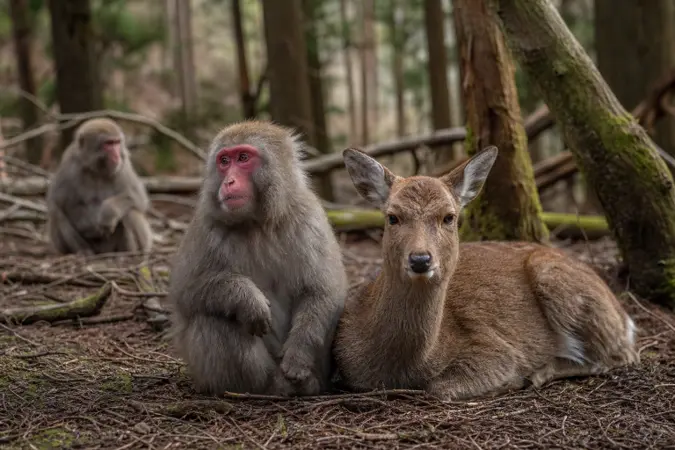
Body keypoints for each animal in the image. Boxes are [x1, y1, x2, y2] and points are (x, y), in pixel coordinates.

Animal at [45, 118, 153, 255]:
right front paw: (88, 227)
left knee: (130, 212)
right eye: (108, 144)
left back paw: (128, 252)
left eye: (117, 143)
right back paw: (83, 251)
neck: (96, 169)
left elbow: (138, 198)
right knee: (56, 213)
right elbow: (60, 202)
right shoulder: (69, 166)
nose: (116, 154)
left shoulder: (123, 166)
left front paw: (109, 212)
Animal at [167, 120, 348, 396]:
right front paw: (248, 300)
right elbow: (186, 292)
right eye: (224, 160)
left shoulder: (310, 219)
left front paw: (298, 356)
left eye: (243, 158)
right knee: (214, 318)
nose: (229, 181)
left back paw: (306, 384)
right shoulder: (206, 226)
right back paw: (267, 386)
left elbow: (324, 290)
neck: (257, 222)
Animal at [333, 146, 639, 401]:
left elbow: (440, 388)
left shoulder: (493, 348)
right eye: (392, 217)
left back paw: (540, 373)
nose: (420, 259)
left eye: (449, 217)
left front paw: (512, 380)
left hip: (557, 281)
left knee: (621, 354)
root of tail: (624, 316)